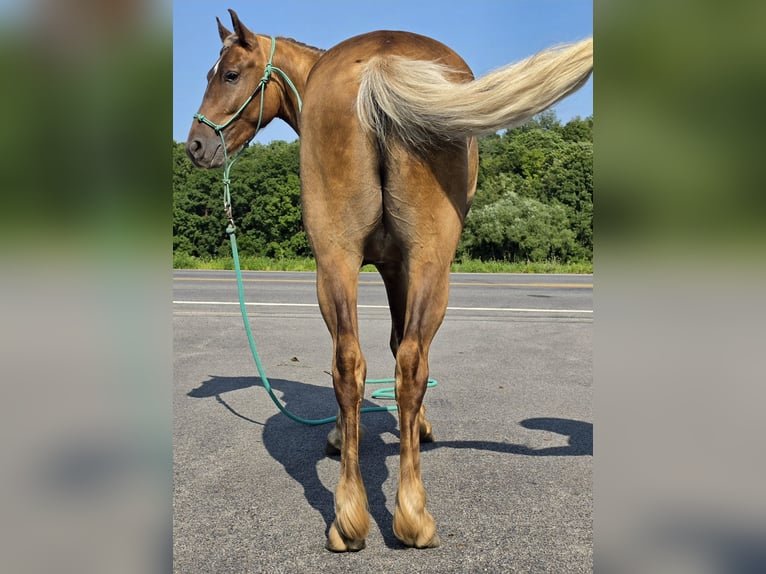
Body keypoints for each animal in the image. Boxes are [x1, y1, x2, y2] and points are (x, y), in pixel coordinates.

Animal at [185, 8, 592, 552]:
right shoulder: (399, 266)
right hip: (429, 264)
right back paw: (412, 515)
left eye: (229, 74)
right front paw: (408, 430)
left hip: (335, 259)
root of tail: (378, 66)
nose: (196, 145)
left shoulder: (383, 266)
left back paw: (349, 518)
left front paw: (351, 436)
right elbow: (401, 346)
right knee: (409, 363)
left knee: (350, 363)